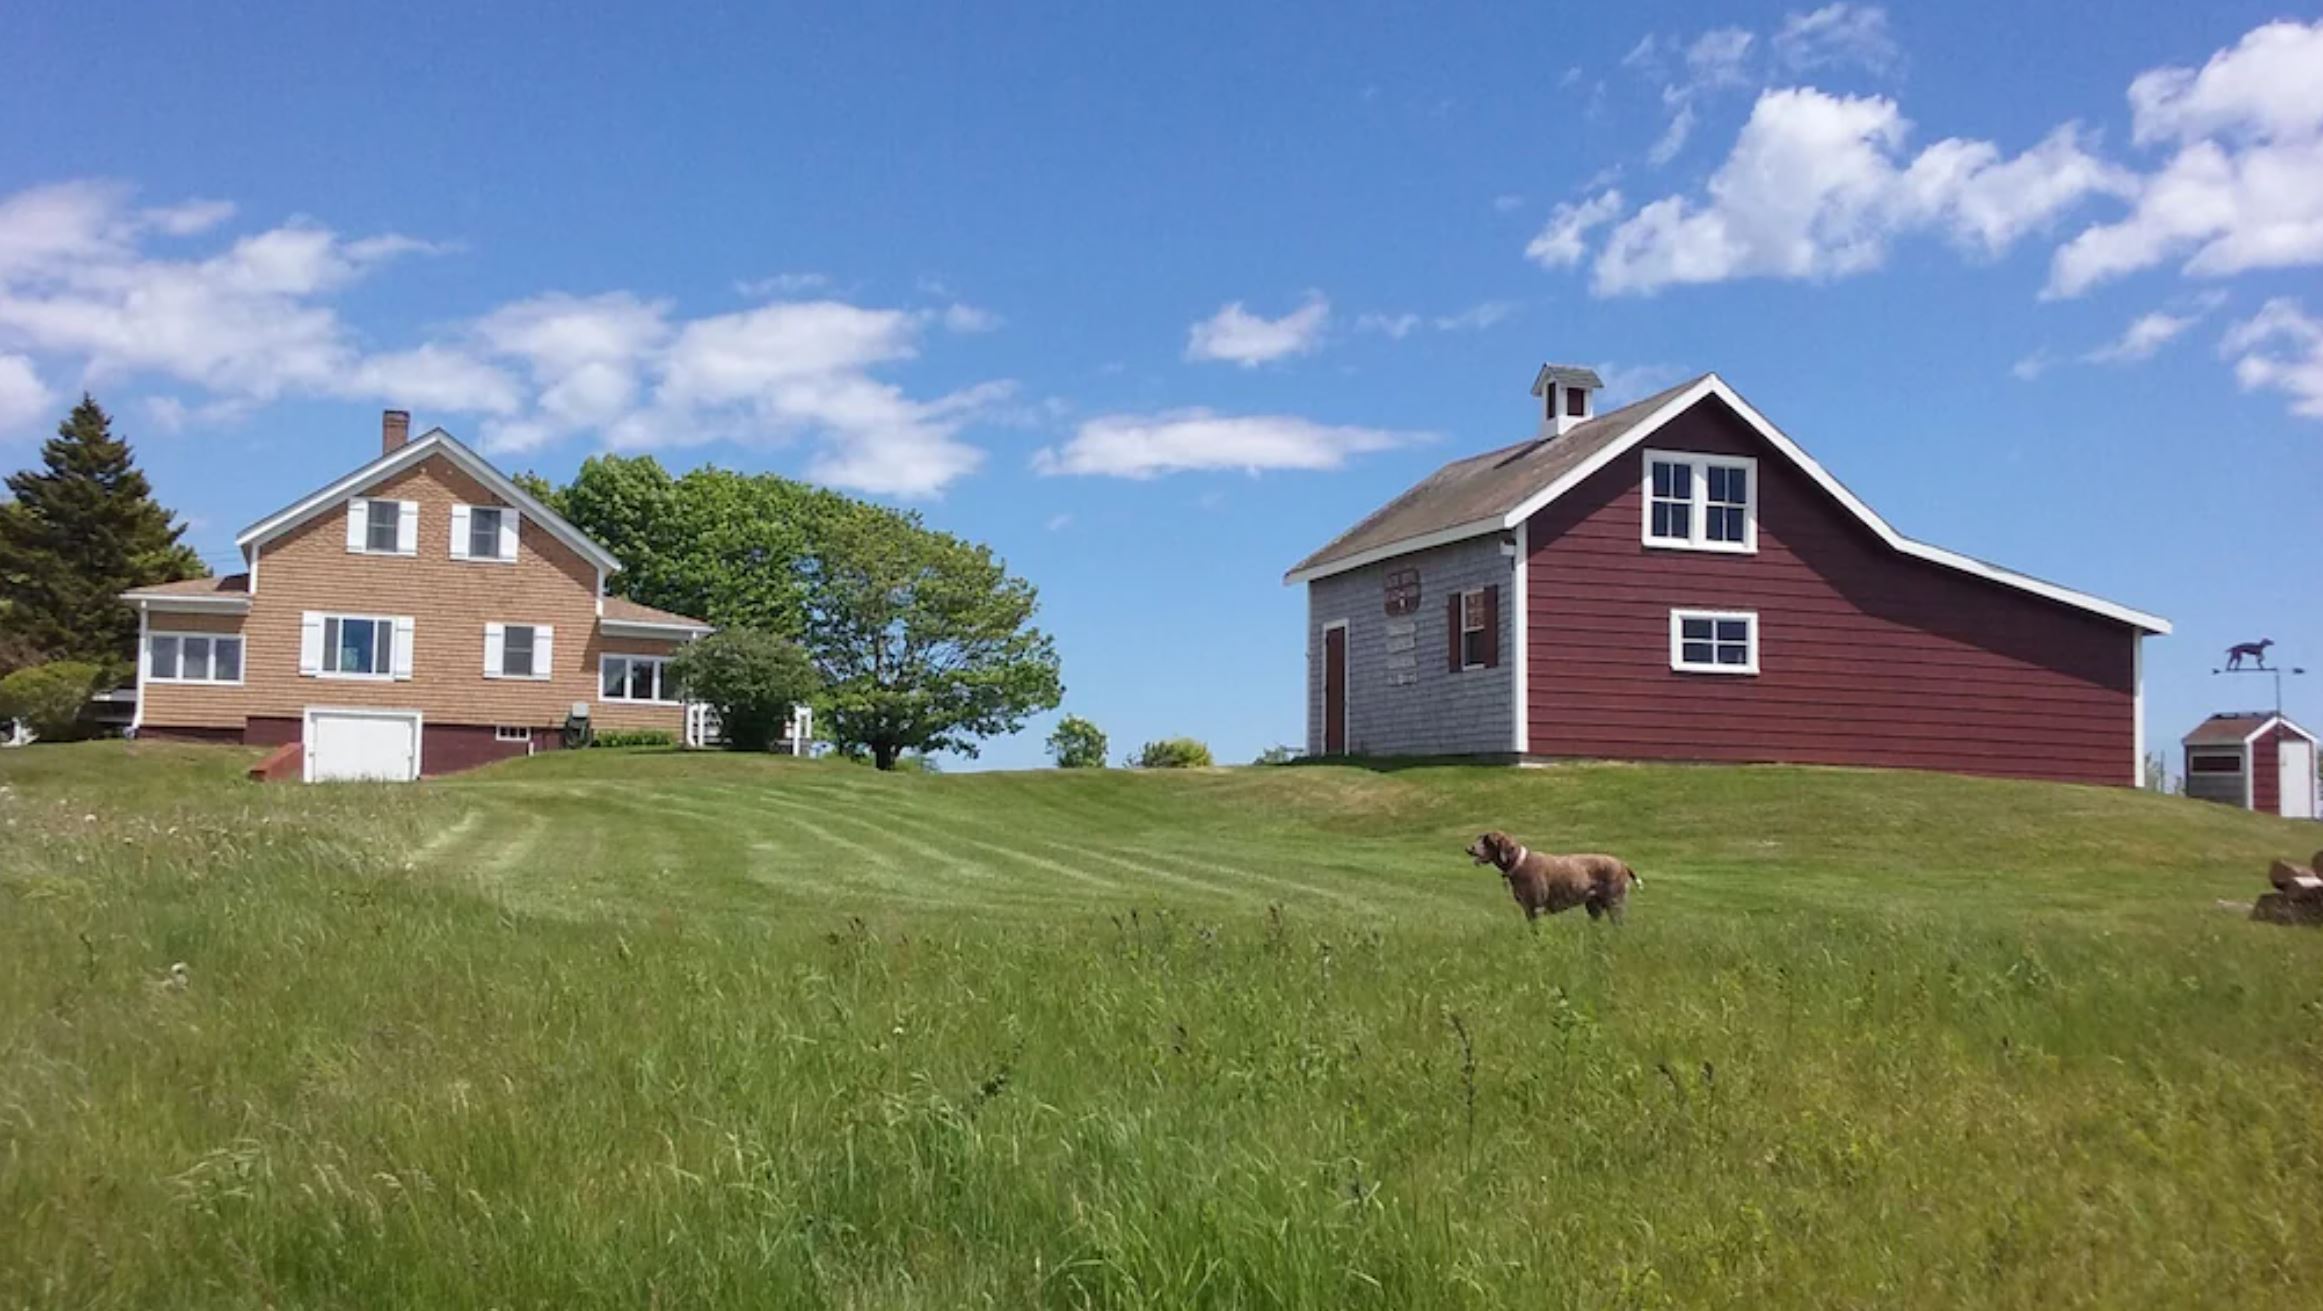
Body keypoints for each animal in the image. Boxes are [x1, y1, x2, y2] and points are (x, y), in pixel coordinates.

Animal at [1458, 827, 1644, 920]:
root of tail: (1623, 863)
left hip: (1615, 904)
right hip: (1593, 907)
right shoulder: (1528, 910)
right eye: (1479, 838)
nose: (1468, 849)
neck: (1519, 863)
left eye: (1488, 840)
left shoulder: (1536, 909)